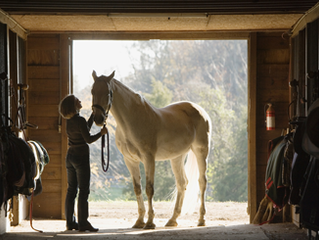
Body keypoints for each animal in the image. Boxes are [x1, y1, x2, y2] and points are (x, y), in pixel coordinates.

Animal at [91, 70, 211, 229]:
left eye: (107, 93)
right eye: (92, 91)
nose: (98, 119)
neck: (132, 121)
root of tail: (200, 110)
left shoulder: (149, 158)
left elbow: (149, 188)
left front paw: (150, 222)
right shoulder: (130, 160)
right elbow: (137, 188)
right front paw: (139, 221)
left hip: (200, 151)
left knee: (202, 182)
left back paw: (201, 219)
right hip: (177, 157)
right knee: (182, 183)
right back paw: (172, 220)